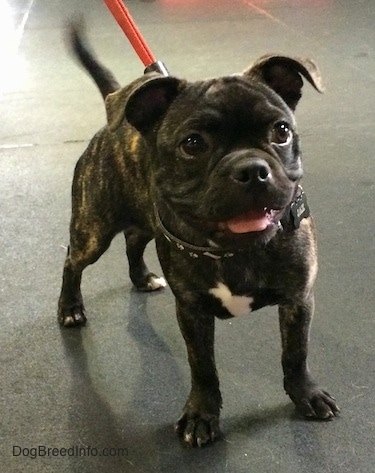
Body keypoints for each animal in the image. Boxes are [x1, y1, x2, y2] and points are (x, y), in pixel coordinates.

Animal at [59, 21, 340, 442]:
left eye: (282, 131)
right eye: (193, 144)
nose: (252, 169)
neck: (233, 249)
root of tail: (114, 124)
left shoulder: (298, 300)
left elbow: (296, 353)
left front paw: (305, 393)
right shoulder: (192, 312)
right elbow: (202, 366)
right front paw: (201, 414)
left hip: (143, 219)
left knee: (134, 241)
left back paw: (142, 278)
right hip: (93, 230)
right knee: (72, 262)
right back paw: (70, 308)